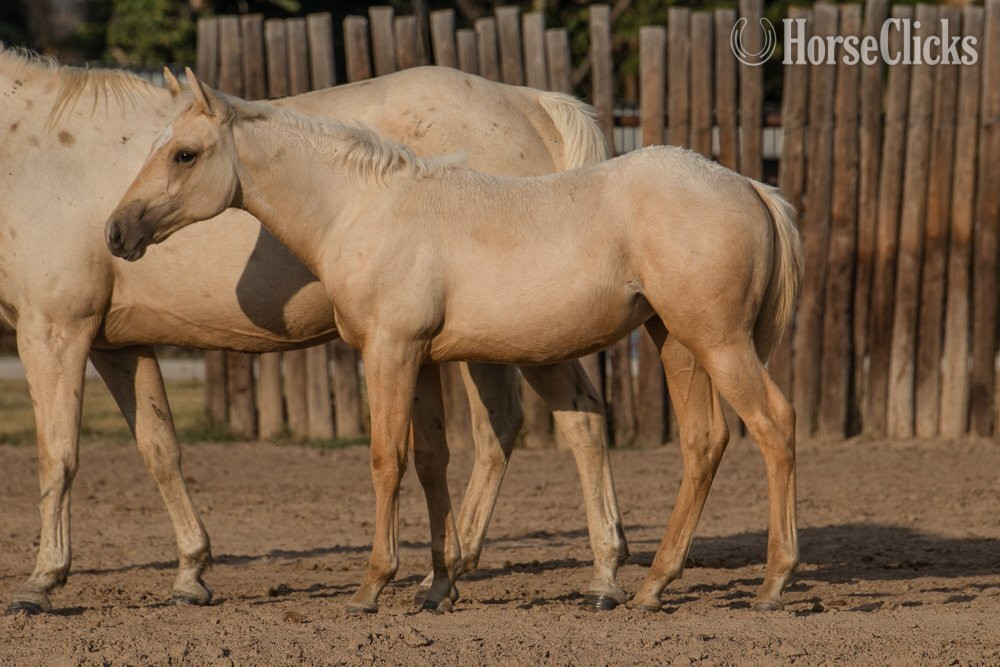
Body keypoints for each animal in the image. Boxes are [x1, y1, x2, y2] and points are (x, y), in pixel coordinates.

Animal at [0, 49, 628, 614]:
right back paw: (454, 575)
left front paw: (40, 583)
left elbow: (57, 455)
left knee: (562, 423)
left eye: (183, 154)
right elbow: (160, 450)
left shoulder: (54, 331)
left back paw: (579, 576)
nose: (117, 230)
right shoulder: (118, 345)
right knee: (519, 427)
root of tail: (533, 104)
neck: (33, 154)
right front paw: (190, 575)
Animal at [106, 71, 803, 614]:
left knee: (773, 425)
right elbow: (431, 463)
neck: (365, 208)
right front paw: (438, 587)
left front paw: (372, 586)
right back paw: (652, 585)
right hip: (677, 343)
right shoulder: (419, 361)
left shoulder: (389, 352)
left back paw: (771, 584)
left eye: (184, 154)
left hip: (718, 343)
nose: (116, 231)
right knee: (703, 442)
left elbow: (387, 460)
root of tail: (750, 186)